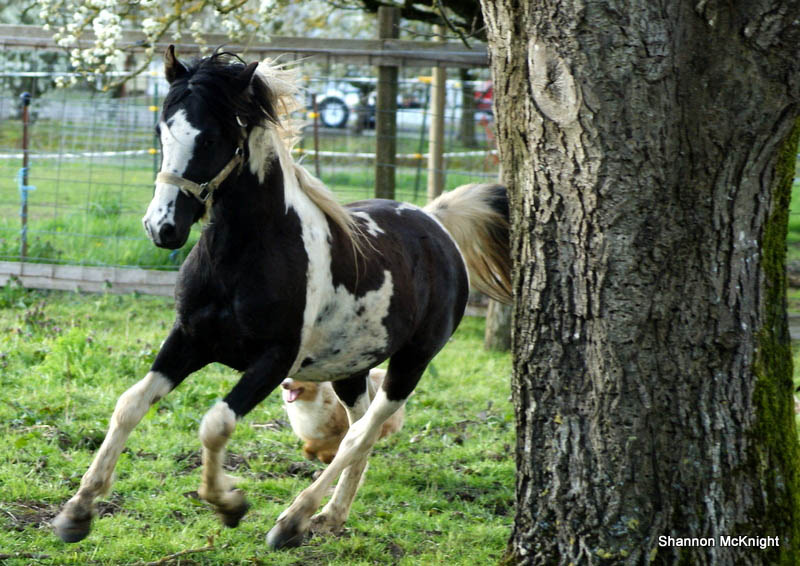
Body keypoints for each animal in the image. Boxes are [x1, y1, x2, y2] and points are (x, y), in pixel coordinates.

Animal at [53, 48, 512, 552]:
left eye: (211, 137)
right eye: (161, 130)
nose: (163, 228)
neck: (241, 258)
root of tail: (435, 224)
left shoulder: (274, 359)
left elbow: (216, 423)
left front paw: (229, 505)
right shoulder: (189, 340)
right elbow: (129, 404)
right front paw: (77, 512)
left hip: (412, 362)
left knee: (361, 434)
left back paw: (294, 521)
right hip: (350, 367)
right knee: (358, 430)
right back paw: (331, 516)